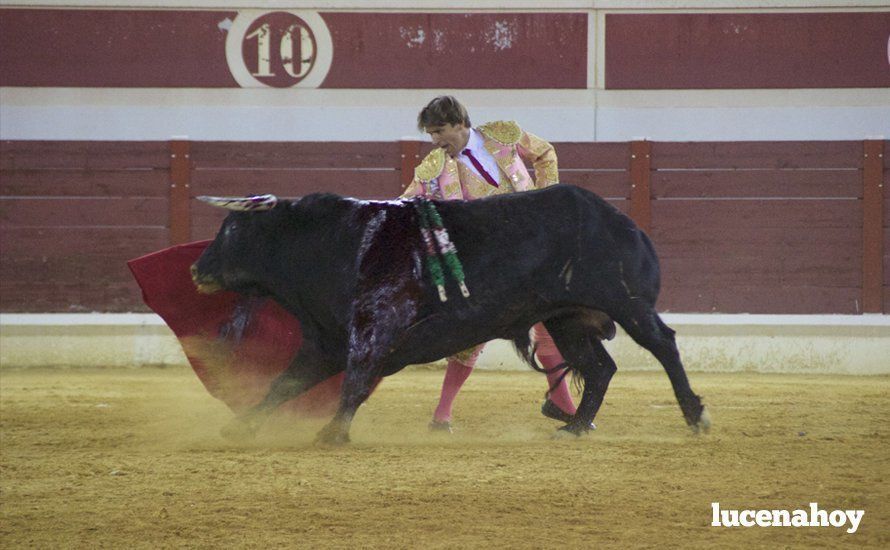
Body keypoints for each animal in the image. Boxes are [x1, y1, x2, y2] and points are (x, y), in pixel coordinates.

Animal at [191, 185, 704, 444]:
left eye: (231, 229)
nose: (196, 269)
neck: (332, 243)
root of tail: (625, 222)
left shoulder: (373, 330)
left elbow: (354, 382)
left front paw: (331, 434)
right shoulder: (325, 342)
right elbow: (285, 383)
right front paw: (239, 426)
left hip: (626, 303)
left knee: (662, 344)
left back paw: (695, 415)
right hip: (567, 318)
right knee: (599, 368)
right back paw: (575, 427)